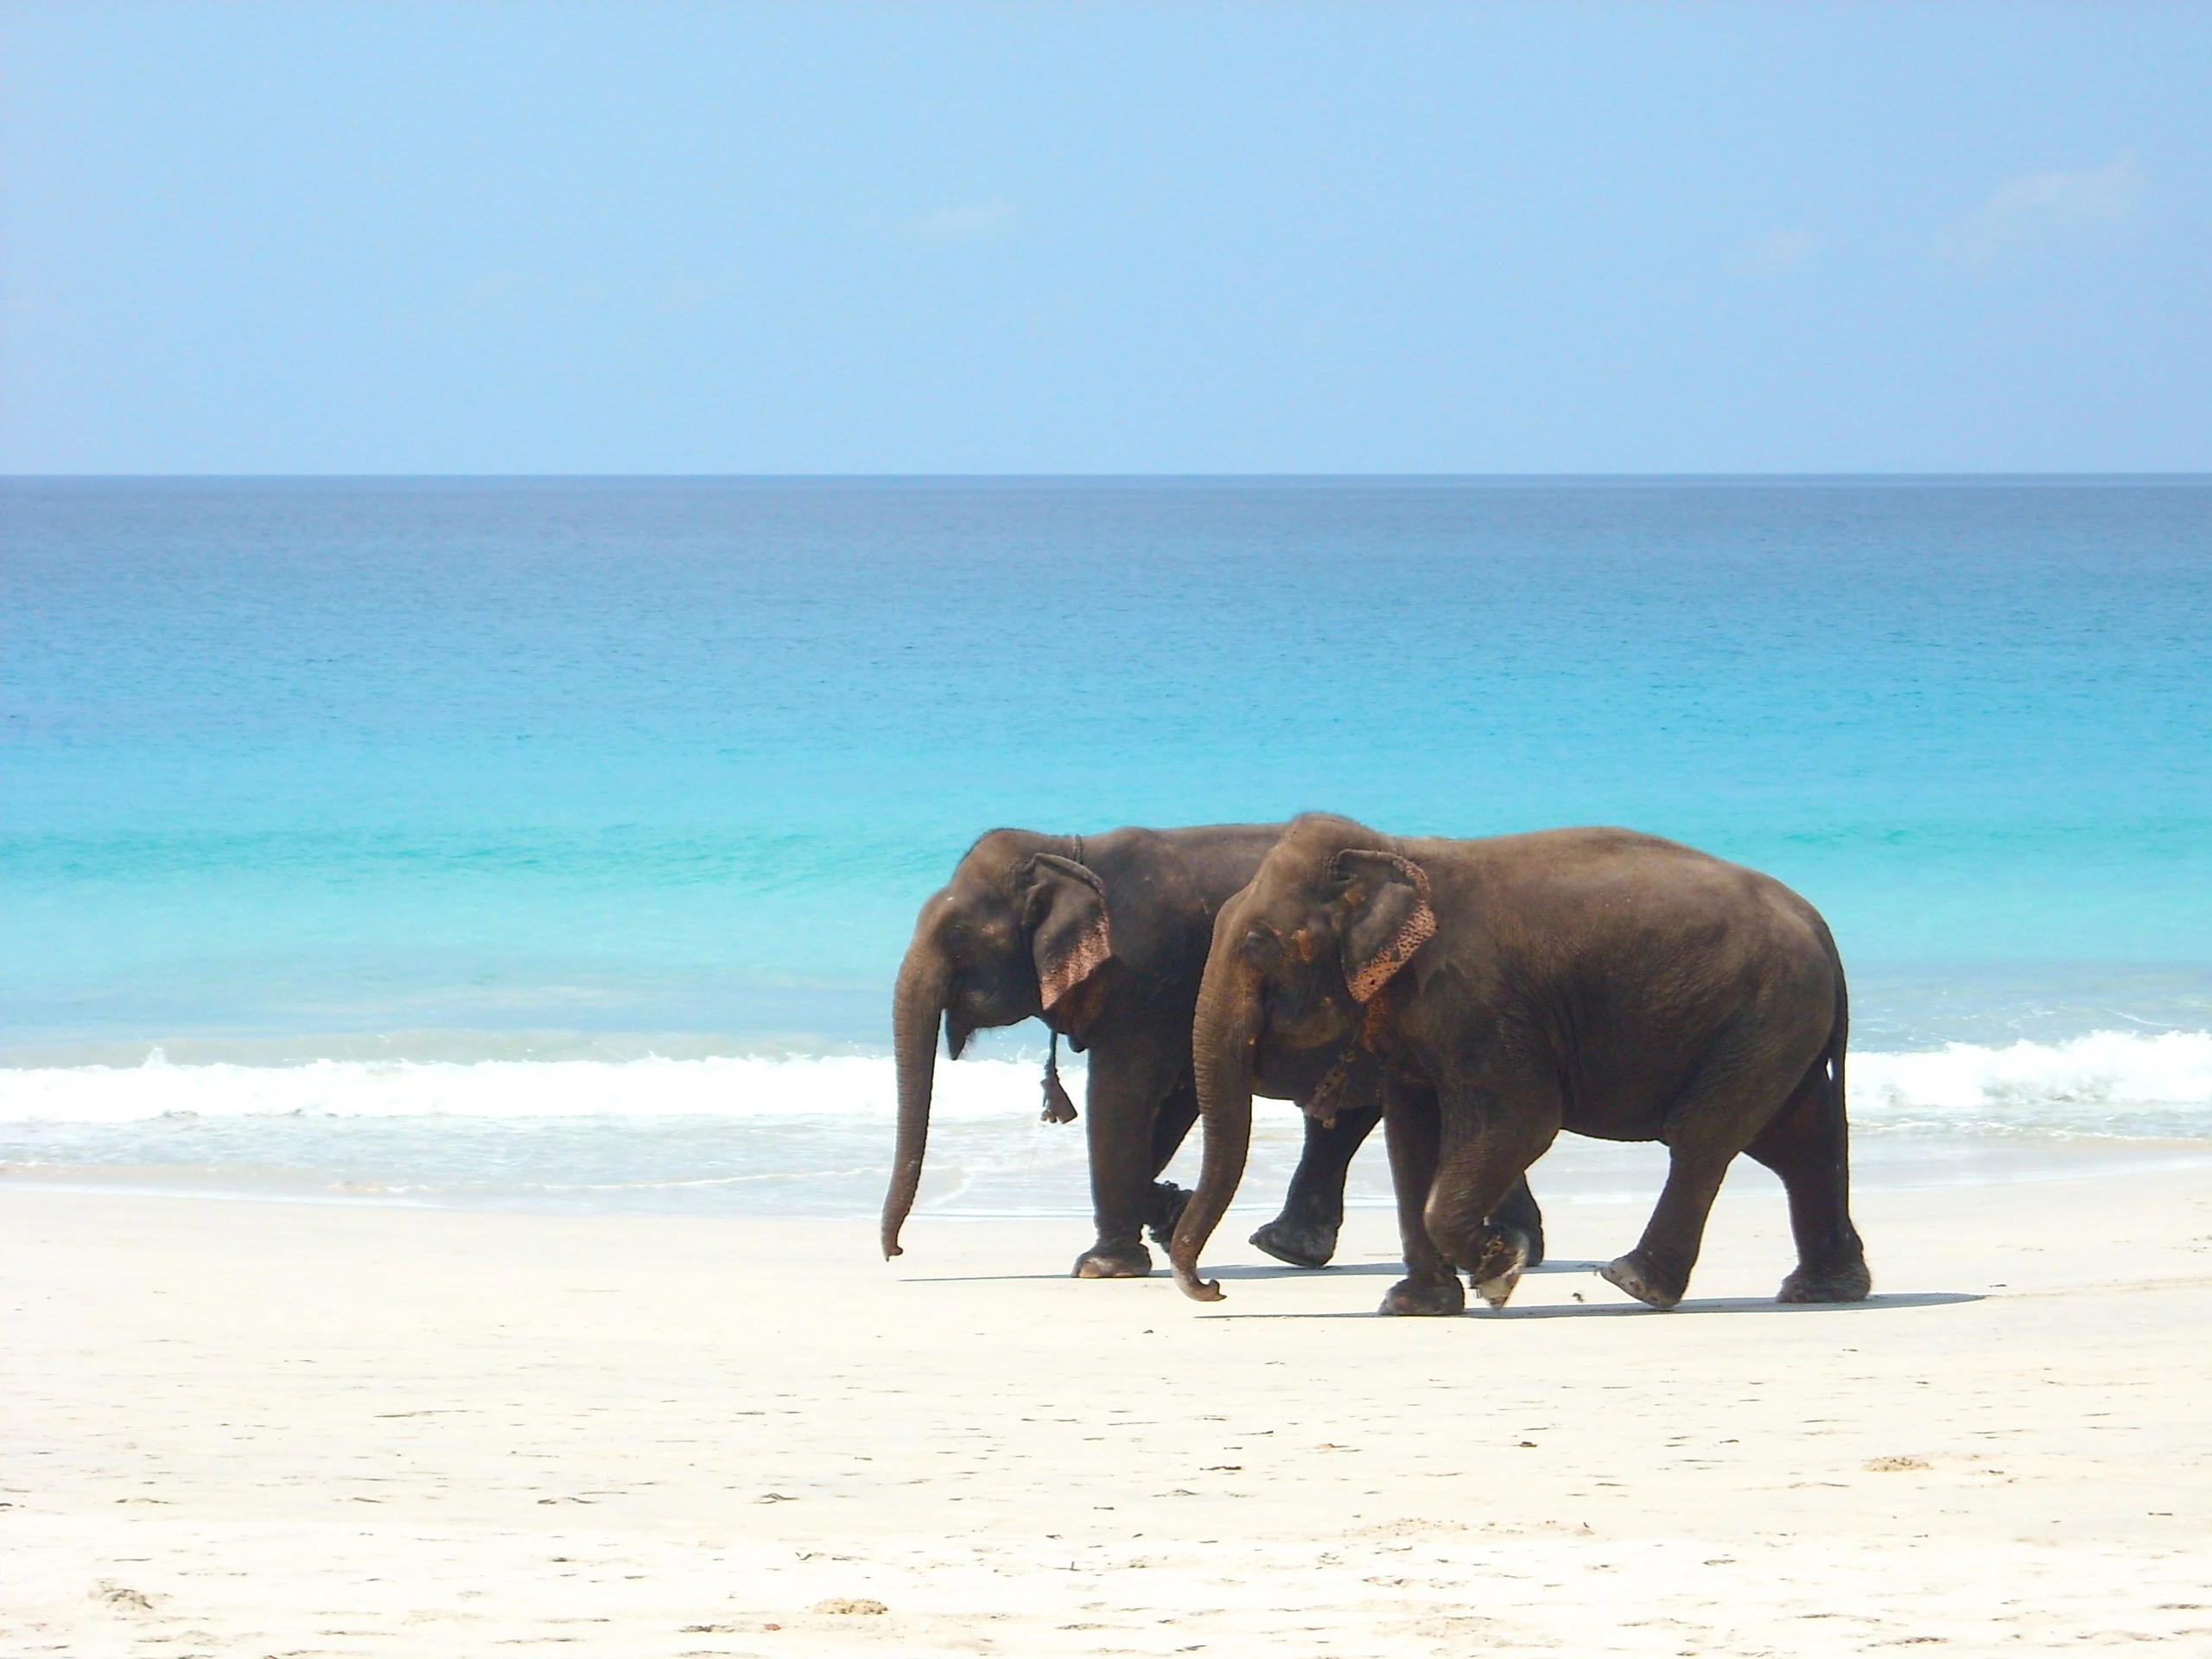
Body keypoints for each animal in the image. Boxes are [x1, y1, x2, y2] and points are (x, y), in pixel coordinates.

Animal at [880, 824, 1546, 1279]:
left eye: (958, 937)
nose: (895, 1252)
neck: (1068, 848)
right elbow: (1174, 1101)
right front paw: (1167, 1213)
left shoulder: (1148, 975)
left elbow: (1124, 1096)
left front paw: (1104, 1266)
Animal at [1169, 814, 1870, 1316]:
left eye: (1258, 944)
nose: (1213, 1288)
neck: (1396, 851)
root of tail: (1822, 928)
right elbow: (1412, 1137)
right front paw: (1416, 1305)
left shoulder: (1477, 1000)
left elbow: (1523, 1120)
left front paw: (1499, 1274)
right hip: (1779, 1027)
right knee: (1799, 1143)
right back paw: (1823, 1291)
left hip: (1765, 1015)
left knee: (1704, 1135)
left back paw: (1632, 1282)